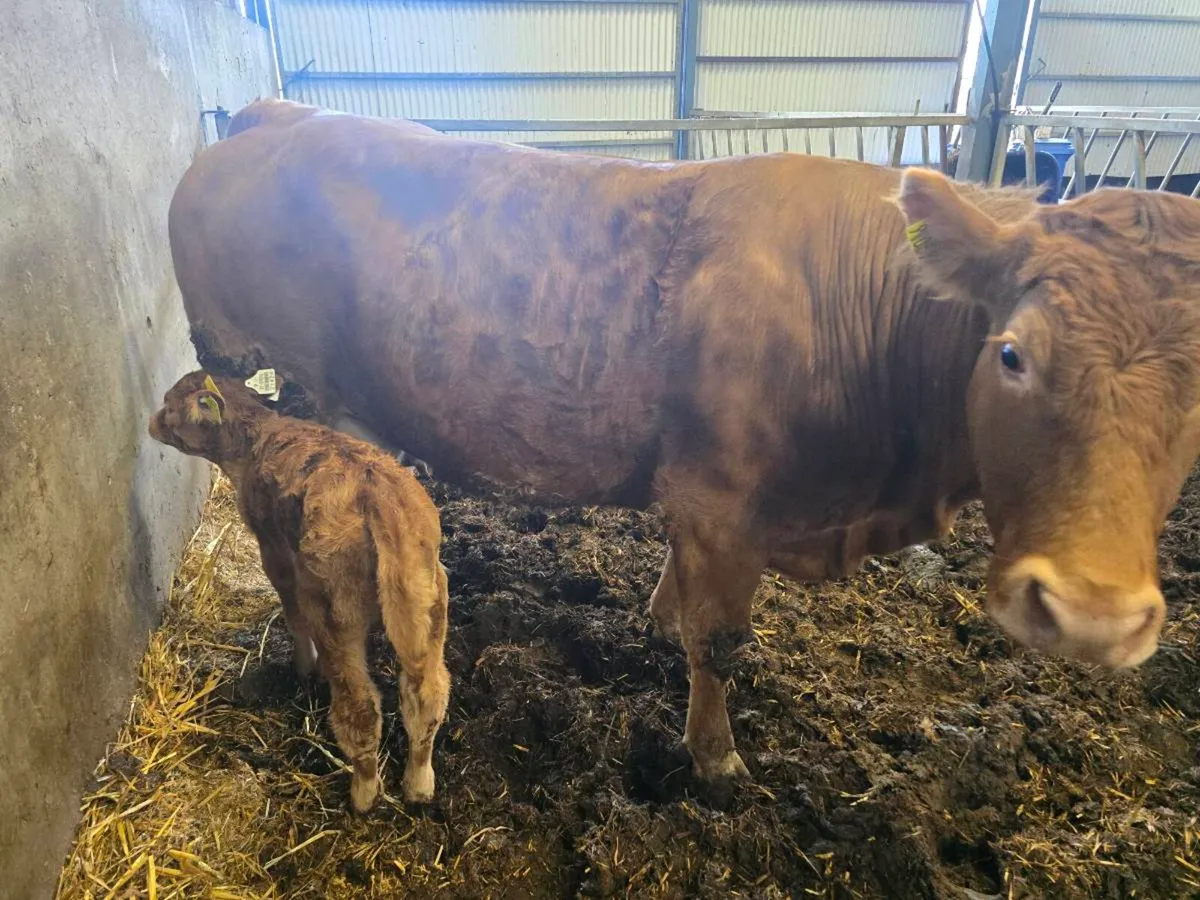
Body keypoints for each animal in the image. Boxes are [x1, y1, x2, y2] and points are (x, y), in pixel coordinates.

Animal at [149, 370, 451, 812]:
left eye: (169, 404)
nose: (151, 422)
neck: (258, 437)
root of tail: (377, 496)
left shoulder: (273, 550)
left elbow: (292, 613)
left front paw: (304, 667)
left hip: (334, 609)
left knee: (360, 707)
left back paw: (363, 795)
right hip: (428, 603)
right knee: (427, 695)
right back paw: (418, 785)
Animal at [167, 98, 1200, 788]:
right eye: (1013, 353)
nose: (1094, 616)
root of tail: (276, 113)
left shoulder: (702, 495)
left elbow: (680, 592)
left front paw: (660, 617)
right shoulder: (723, 501)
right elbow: (723, 641)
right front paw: (715, 757)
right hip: (245, 367)